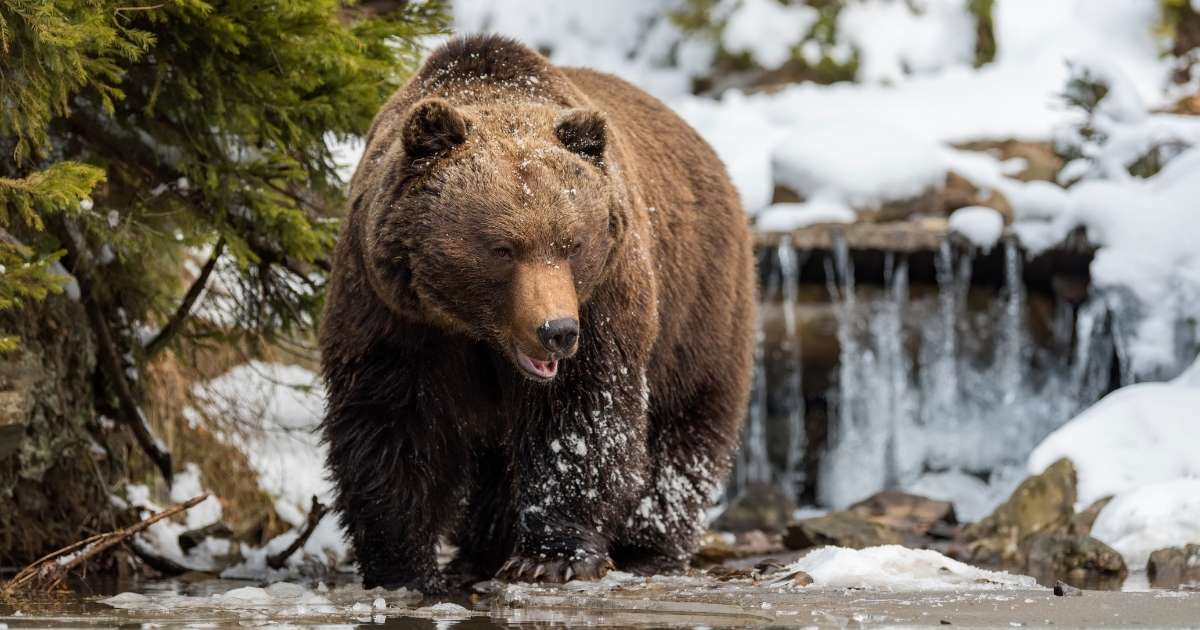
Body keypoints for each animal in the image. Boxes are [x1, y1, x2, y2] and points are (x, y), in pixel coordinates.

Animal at [319, 34, 755, 593]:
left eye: (573, 243)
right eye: (503, 248)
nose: (557, 331)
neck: (476, 331)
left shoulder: (604, 300)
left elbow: (579, 418)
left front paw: (552, 556)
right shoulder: (393, 312)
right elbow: (393, 422)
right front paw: (403, 567)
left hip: (699, 303)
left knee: (684, 426)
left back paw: (649, 548)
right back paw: (480, 550)